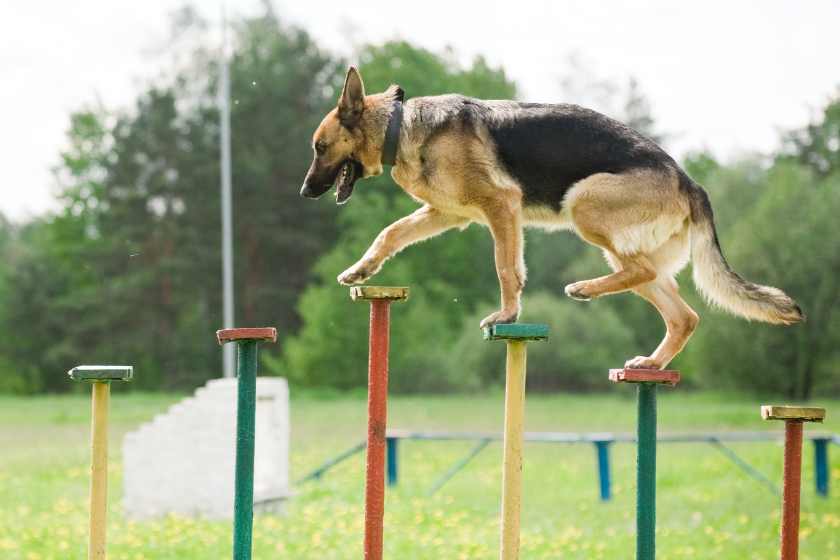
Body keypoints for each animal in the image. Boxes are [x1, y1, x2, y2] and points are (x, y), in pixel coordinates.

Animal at [300, 68, 800, 370]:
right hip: (626, 247)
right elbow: (390, 233)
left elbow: (506, 268)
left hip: (583, 205)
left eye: (320, 148)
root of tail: (688, 180)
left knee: (642, 271)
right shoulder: (446, 214)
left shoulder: (500, 207)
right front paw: (361, 270)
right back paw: (652, 362)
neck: (399, 126)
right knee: (683, 314)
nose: (304, 192)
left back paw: (584, 289)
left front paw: (507, 314)